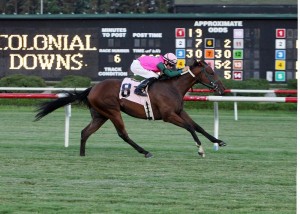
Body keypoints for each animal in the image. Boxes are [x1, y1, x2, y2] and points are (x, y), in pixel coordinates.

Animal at [35, 59, 226, 158]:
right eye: (210, 72)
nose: (222, 89)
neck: (173, 87)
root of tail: (93, 88)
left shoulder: (179, 111)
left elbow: (197, 127)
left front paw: (219, 141)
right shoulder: (168, 115)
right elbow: (189, 127)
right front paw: (200, 149)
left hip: (100, 115)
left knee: (85, 132)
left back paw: (82, 154)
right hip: (112, 111)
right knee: (123, 134)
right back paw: (145, 152)